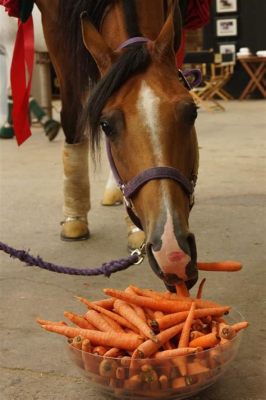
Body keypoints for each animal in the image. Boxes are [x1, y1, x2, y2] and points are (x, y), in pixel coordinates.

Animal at [10, 0, 200, 290]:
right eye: (106, 126)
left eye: (192, 112)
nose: (172, 253)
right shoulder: (56, 32)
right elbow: (73, 117)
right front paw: (74, 220)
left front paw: (135, 229)